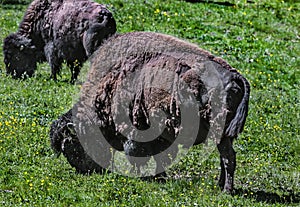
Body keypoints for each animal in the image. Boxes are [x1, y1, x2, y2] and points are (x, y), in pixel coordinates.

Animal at [49, 31, 251, 192]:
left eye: (71, 146)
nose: (86, 170)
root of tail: (235, 76)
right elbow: (160, 157)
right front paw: (159, 177)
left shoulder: (136, 131)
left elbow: (137, 154)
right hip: (224, 136)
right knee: (226, 158)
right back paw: (220, 185)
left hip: (220, 133)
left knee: (227, 158)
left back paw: (226, 190)